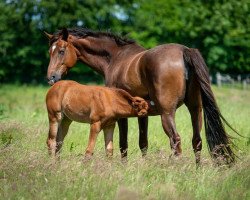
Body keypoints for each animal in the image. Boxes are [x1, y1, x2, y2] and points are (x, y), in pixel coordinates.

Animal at [44, 27, 236, 164]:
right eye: (50, 52)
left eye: (61, 50)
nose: (51, 77)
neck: (115, 58)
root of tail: (184, 51)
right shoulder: (142, 114)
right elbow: (143, 143)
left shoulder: (121, 115)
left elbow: (123, 143)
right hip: (195, 109)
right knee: (196, 141)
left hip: (167, 114)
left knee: (176, 141)